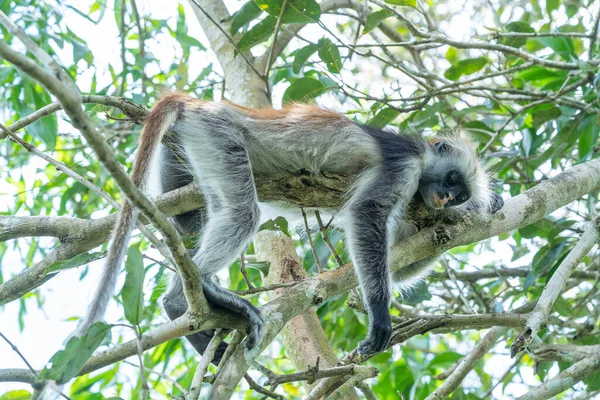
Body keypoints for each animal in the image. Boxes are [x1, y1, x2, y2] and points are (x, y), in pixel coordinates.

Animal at [78, 93, 502, 356]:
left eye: (459, 194)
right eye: (451, 180)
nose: (447, 198)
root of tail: (203, 104)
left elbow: (405, 257)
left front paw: (488, 205)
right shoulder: (405, 163)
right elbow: (367, 212)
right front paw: (381, 317)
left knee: (188, 225)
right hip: (219, 135)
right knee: (241, 213)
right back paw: (182, 300)